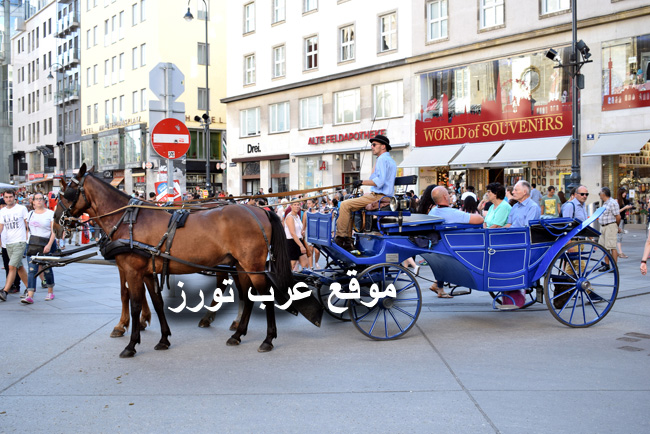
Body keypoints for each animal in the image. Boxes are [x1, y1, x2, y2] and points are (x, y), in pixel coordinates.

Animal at [54, 164, 320, 358]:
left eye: (66, 193)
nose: (58, 223)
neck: (128, 219)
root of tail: (259, 211)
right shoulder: (148, 271)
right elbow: (157, 303)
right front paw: (163, 338)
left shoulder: (132, 270)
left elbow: (135, 302)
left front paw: (131, 344)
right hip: (240, 266)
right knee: (246, 296)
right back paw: (237, 333)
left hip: (252, 266)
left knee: (262, 296)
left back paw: (267, 339)